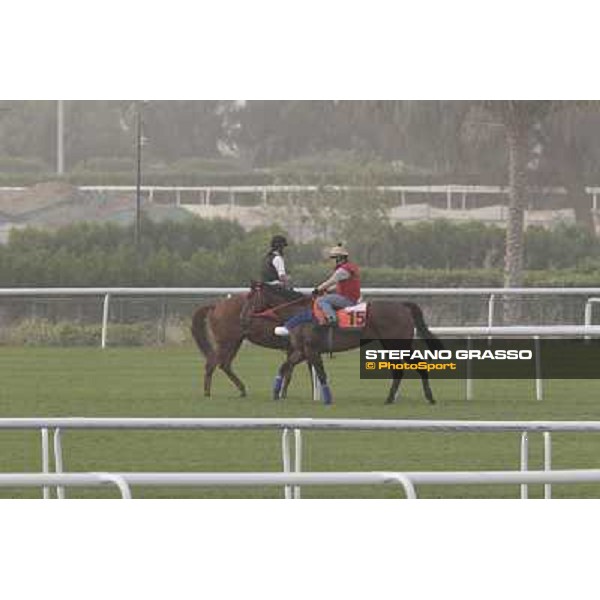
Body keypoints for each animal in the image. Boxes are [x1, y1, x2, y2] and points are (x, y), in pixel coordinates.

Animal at [241, 280, 442, 404]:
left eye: (250, 297)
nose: (243, 317)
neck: (300, 313)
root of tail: (402, 306)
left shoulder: (311, 350)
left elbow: (321, 374)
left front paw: (328, 399)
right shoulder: (302, 351)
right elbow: (284, 367)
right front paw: (276, 393)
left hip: (397, 344)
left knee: (414, 366)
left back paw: (427, 397)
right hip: (392, 346)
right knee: (401, 370)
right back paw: (393, 398)